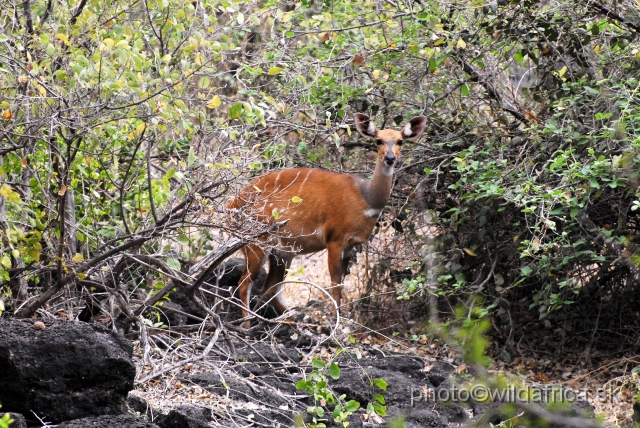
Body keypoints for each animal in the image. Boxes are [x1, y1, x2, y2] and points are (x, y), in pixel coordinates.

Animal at [228, 113, 428, 324]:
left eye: (400, 141)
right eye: (378, 140)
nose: (390, 158)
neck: (365, 199)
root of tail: (231, 206)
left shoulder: (350, 245)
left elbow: (341, 282)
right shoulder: (334, 238)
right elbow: (334, 283)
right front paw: (336, 319)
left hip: (283, 251)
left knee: (270, 287)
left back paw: (293, 318)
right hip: (257, 241)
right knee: (245, 283)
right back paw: (248, 325)